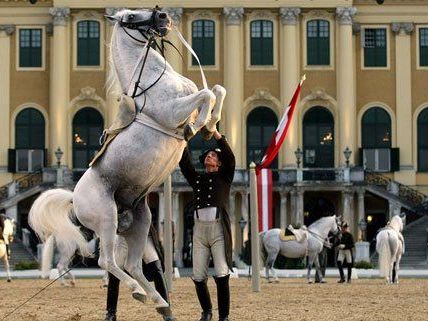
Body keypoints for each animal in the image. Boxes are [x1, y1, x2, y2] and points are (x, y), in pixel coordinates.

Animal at [28, 8, 226, 312]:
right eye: (131, 16)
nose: (164, 16)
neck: (152, 81)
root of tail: (74, 197)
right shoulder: (172, 111)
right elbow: (206, 95)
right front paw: (199, 125)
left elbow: (217, 90)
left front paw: (211, 125)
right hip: (107, 219)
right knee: (107, 262)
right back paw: (139, 291)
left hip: (141, 221)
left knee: (133, 265)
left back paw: (157, 299)